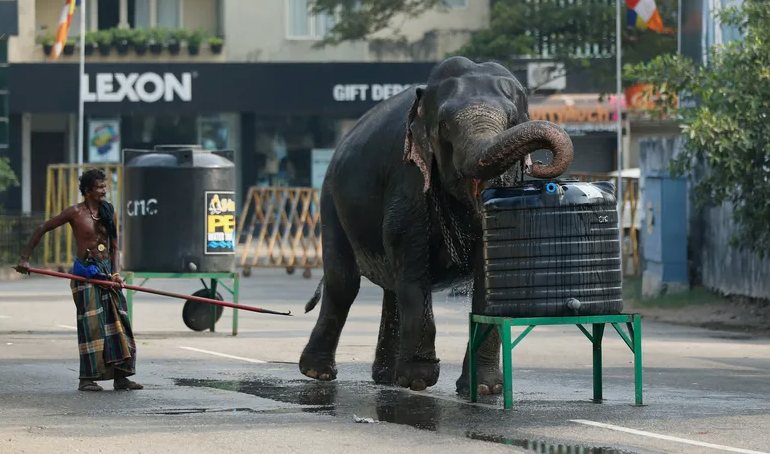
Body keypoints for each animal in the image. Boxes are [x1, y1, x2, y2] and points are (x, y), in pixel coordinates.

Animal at [296, 55, 572, 394]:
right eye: (445, 127)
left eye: (512, 121)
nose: (540, 164)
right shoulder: (409, 178)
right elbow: (413, 262)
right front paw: (417, 380)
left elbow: (491, 274)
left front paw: (483, 389)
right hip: (331, 201)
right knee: (344, 282)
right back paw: (318, 373)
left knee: (391, 288)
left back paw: (385, 378)